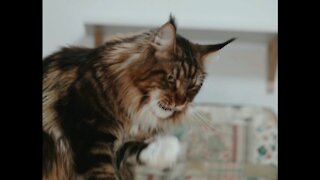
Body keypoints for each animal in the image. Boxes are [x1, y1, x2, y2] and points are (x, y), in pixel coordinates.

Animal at [42, 15, 235, 180]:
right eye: (171, 78)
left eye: (193, 86)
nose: (180, 103)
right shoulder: (89, 136)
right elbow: (104, 172)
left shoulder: (119, 146)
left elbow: (134, 150)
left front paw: (167, 149)